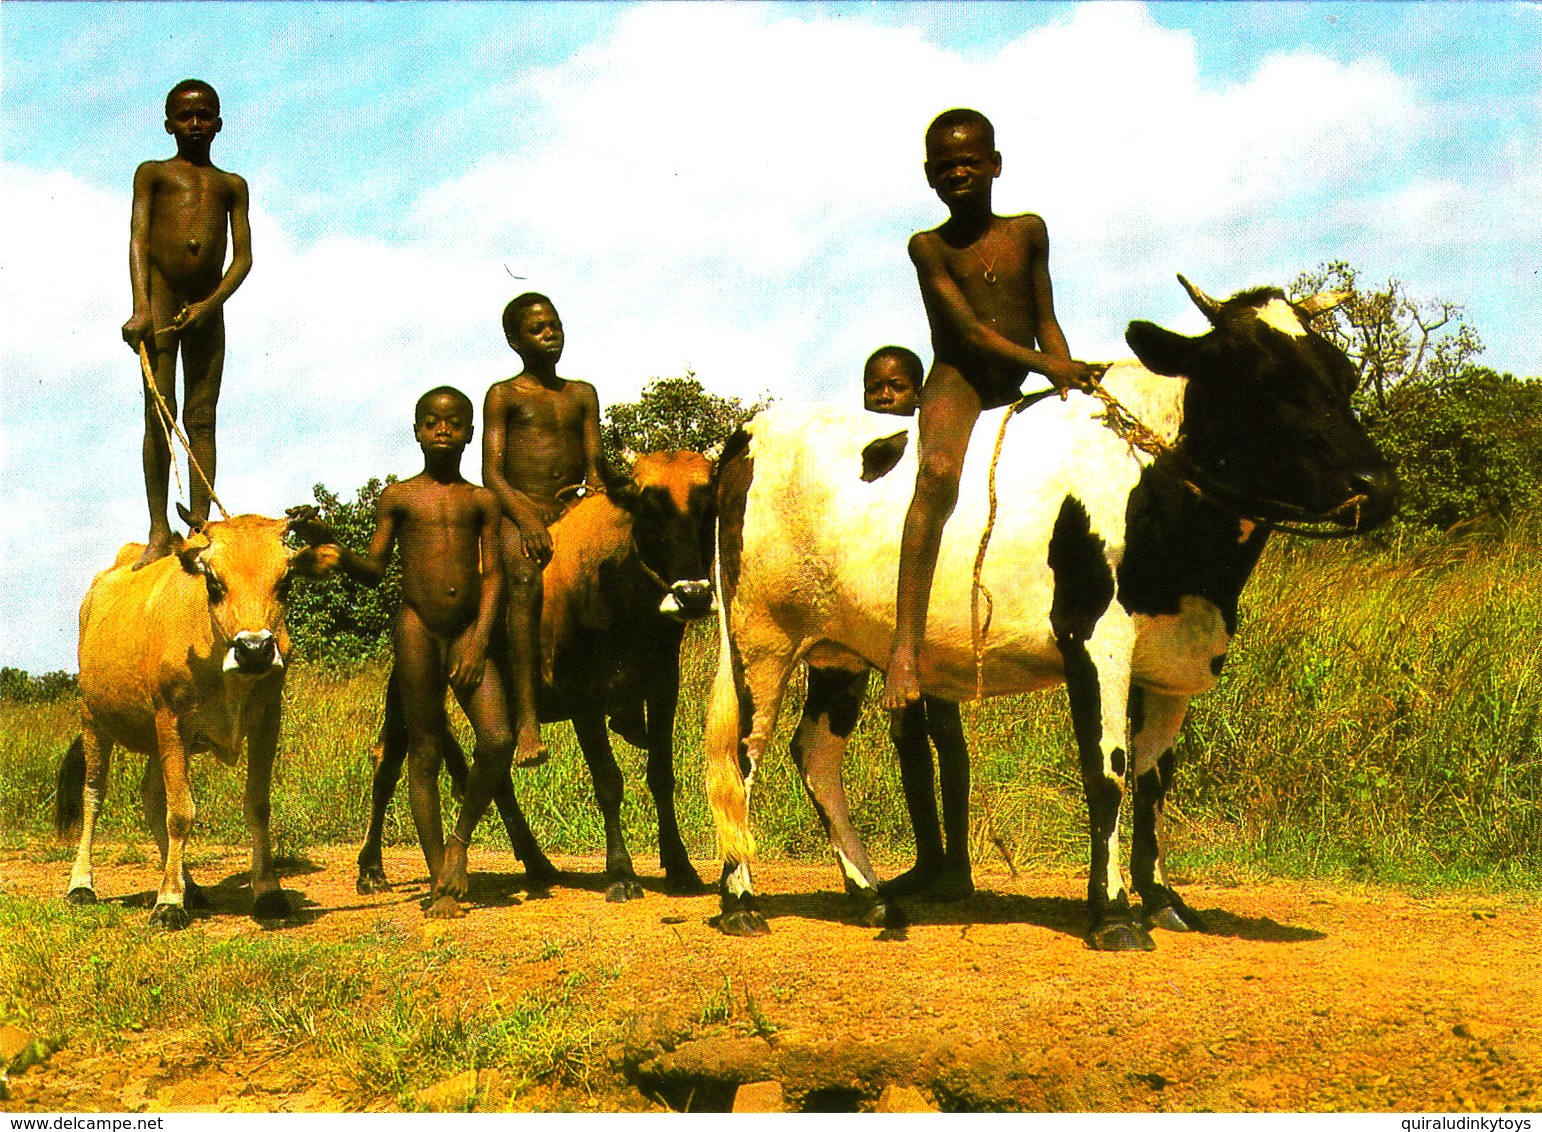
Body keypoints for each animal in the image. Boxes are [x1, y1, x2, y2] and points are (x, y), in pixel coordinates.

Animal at [56, 508, 337, 931]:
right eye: (215, 583)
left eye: (285, 582)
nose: (255, 649)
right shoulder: (171, 719)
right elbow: (181, 813)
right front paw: (169, 903)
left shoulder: (266, 720)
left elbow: (256, 805)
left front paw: (268, 893)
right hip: (94, 718)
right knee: (94, 794)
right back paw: (81, 885)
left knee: (151, 797)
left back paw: (190, 885)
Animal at [357, 453, 718, 906]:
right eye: (648, 509)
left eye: (707, 508)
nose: (694, 595)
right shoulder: (584, 699)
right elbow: (608, 781)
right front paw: (621, 873)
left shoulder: (664, 684)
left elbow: (661, 775)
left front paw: (680, 866)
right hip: (404, 688)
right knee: (387, 765)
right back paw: (371, 870)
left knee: (495, 772)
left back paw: (537, 862)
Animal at [706, 279, 1400, 956]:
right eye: (1255, 377)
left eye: (1343, 374)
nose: (1378, 485)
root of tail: (752, 430)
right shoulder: (1096, 639)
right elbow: (1109, 770)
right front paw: (1113, 914)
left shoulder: (1173, 660)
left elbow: (1154, 778)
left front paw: (1165, 901)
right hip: (760, 636)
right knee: (743, 754)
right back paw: (740, 901)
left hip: (837, 649)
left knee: (815, 754)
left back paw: (873, 895)